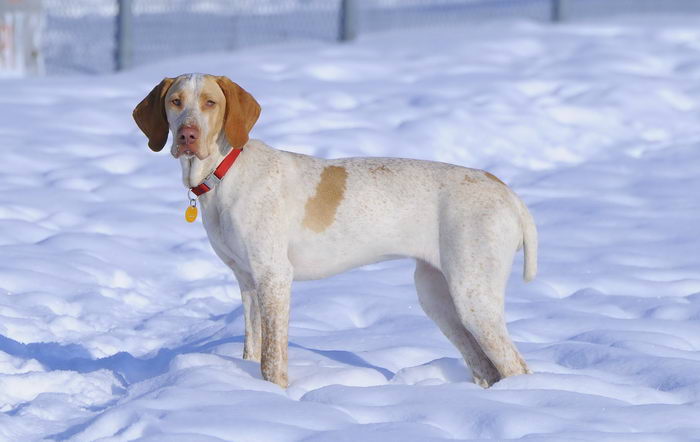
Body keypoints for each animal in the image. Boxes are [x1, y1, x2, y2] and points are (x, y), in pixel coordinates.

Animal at [133, 74, 536, 388]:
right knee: (486, 368)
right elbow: (252, 347)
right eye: (175, 102)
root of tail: (507, 192)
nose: (187, 135)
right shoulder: (247, 281)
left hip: (472, 295)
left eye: (210, 103)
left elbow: (271, 360)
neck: (225, 172)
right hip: (438, 297)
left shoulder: (274, 277)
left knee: (515, 366)